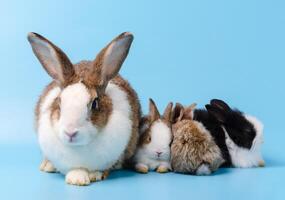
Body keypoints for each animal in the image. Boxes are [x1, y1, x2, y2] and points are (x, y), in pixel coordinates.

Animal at [27, 31, 141, 186]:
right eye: (59, 102)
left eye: (94, 104)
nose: (70, 132)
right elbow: (75, 170)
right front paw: (77, 179)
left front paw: (92, 176)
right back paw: (47, 166)